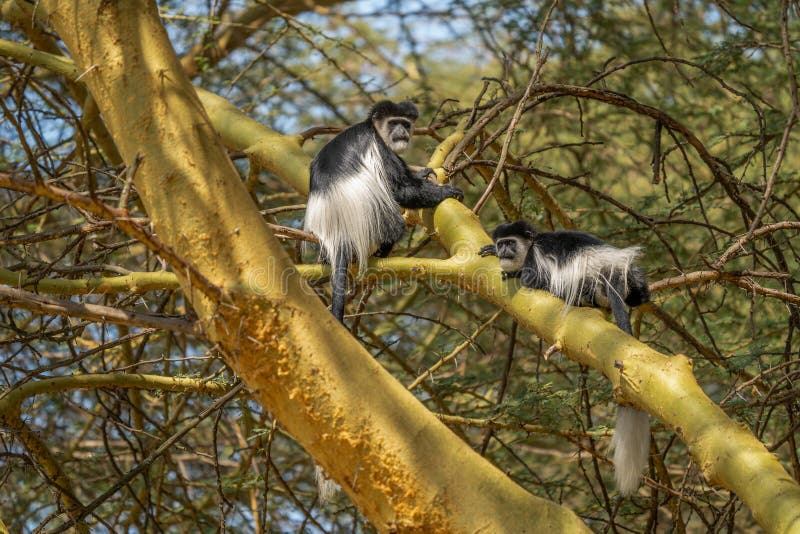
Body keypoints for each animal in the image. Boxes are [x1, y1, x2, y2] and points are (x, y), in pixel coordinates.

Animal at [304, 102, 462, 324]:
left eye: (405, 123)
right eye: (394, 123)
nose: (402, 131)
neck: (372, 127)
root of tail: (338, 233)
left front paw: (423, 174)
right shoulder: (380, 149)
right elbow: (400, 190)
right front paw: (445, 191)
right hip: (372, 217)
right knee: (395, 224)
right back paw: (381, 251)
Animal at [478, 222, 652, 498]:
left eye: (510, 243)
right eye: (501, 243)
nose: (502, 251)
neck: (531, 243)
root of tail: (609, 268)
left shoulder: (536, 257)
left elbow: (532, 279)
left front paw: (513, 272)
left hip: (584, 279)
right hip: (632, 279)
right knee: (642, 294)